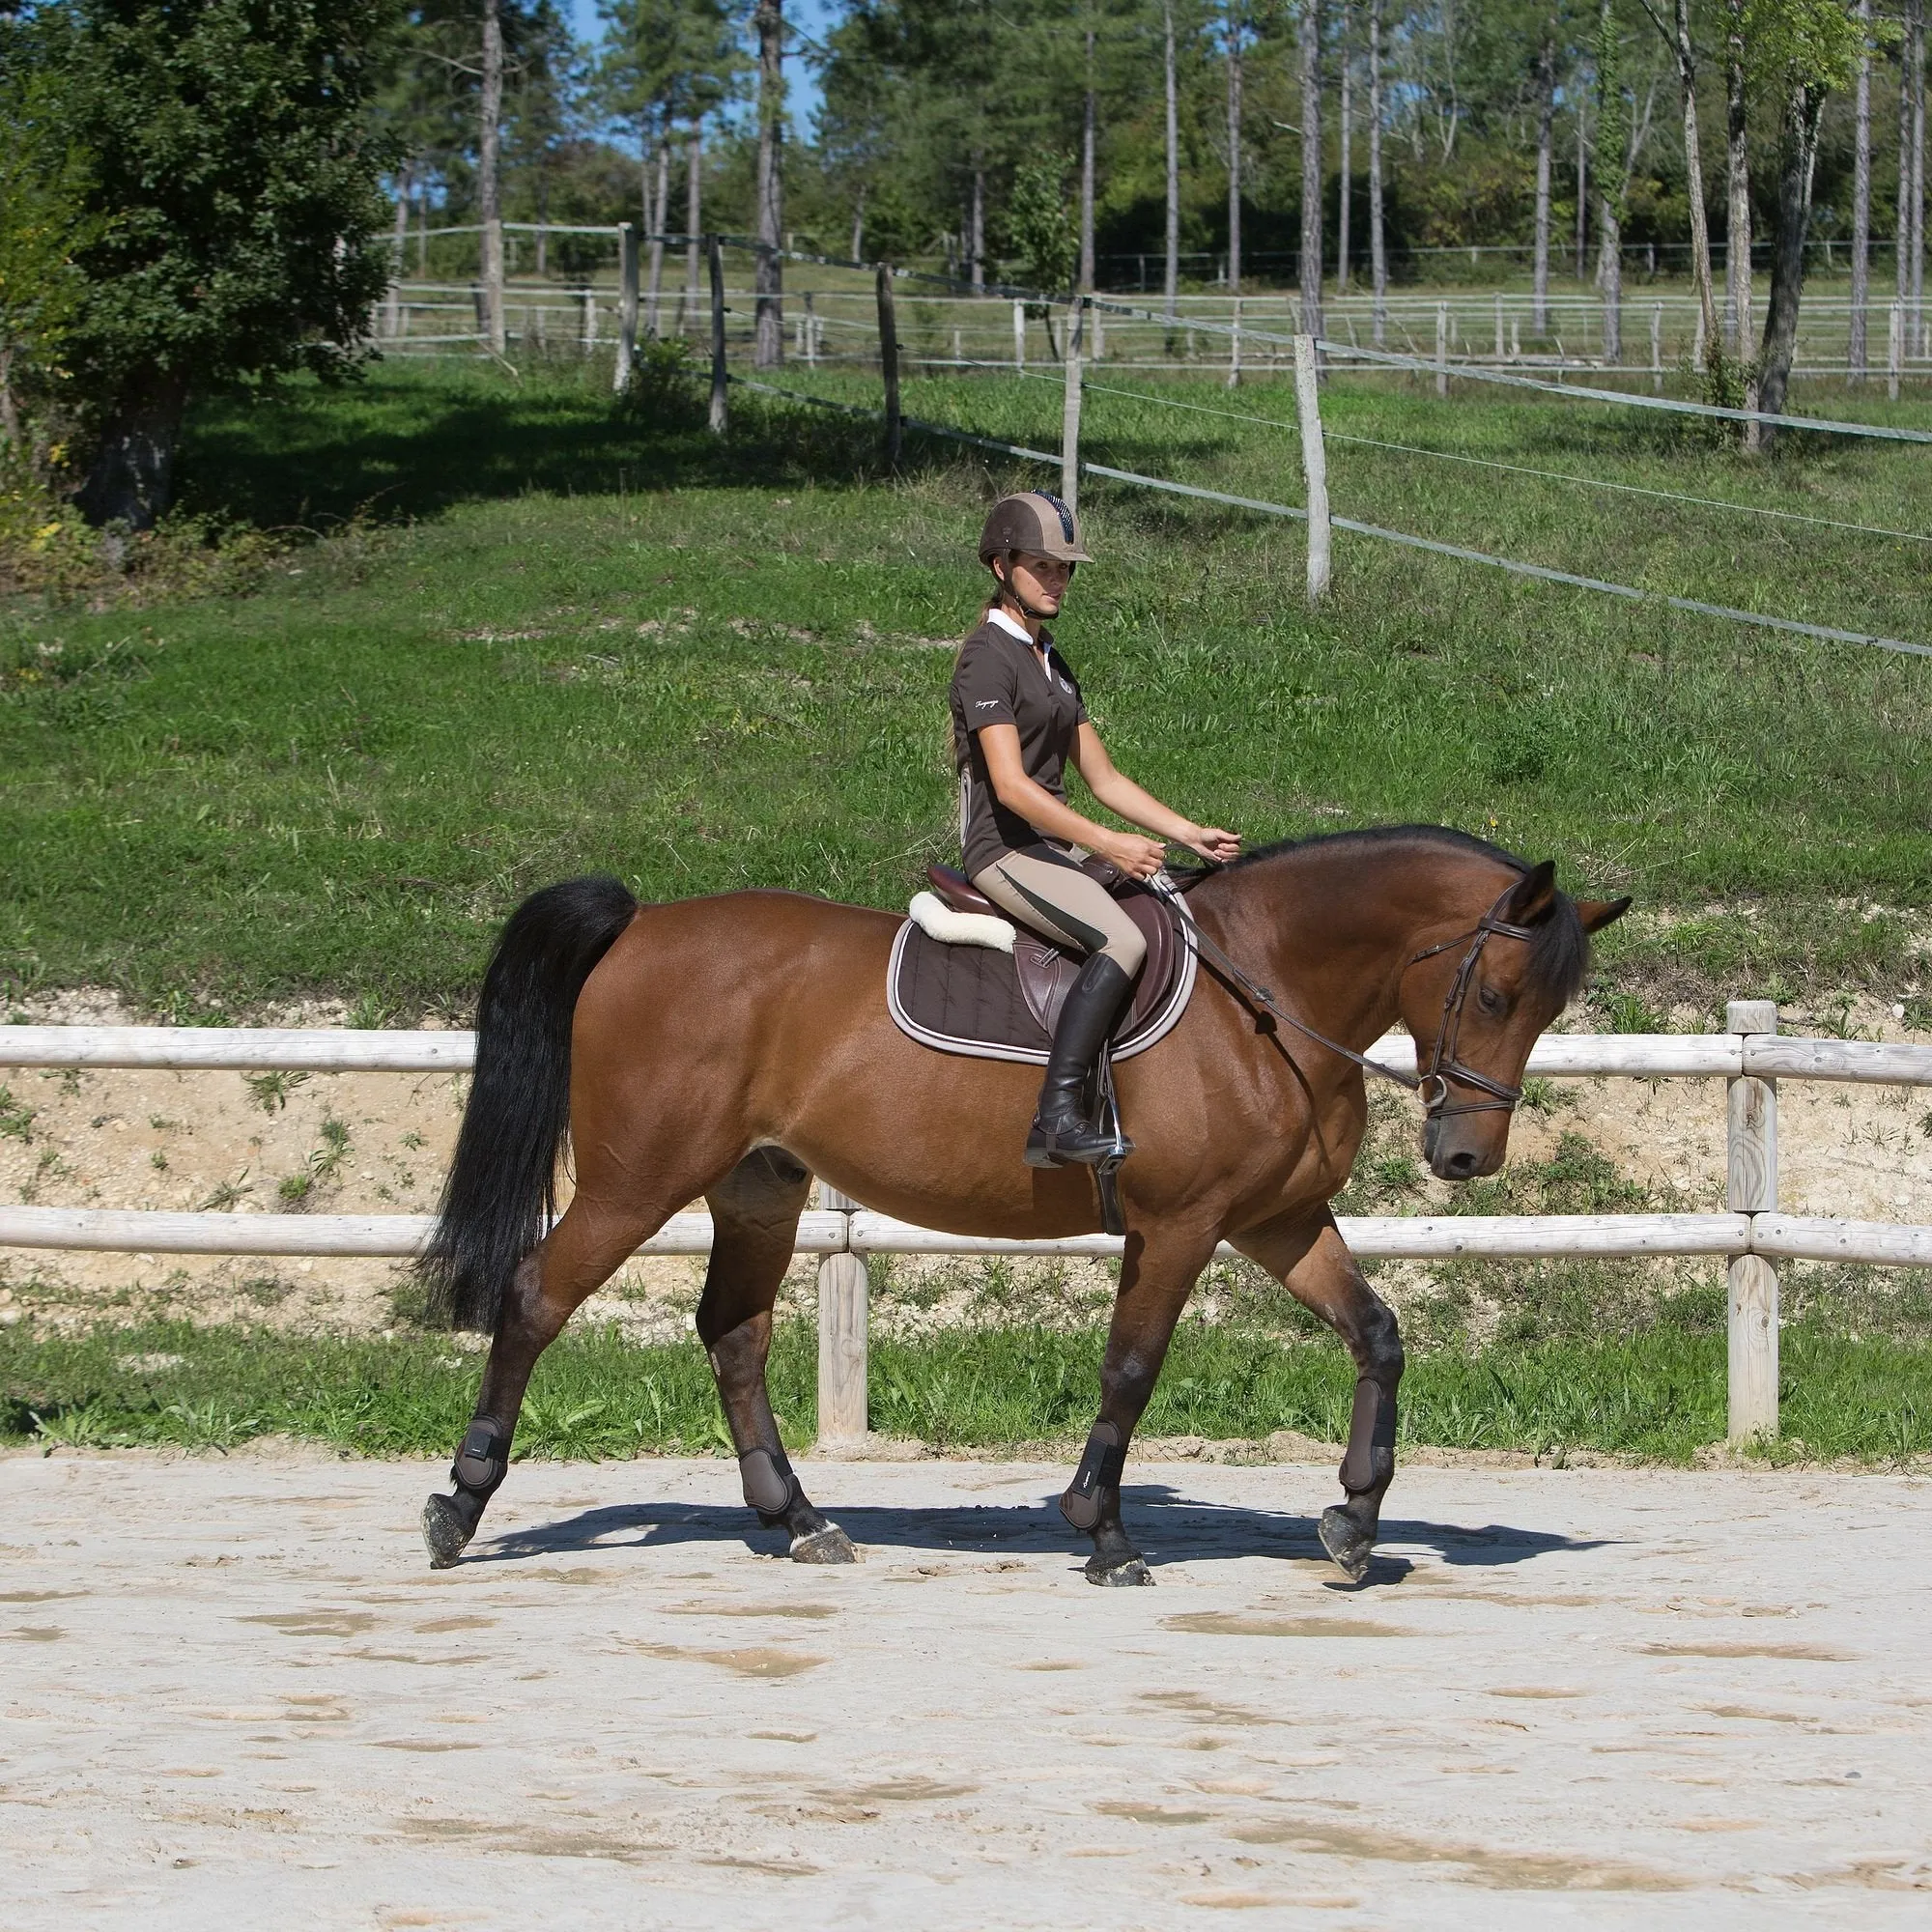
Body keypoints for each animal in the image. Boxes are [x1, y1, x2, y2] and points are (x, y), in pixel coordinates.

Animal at [423, 827, 1631, 1584]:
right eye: (1493, 994)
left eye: (1542, 1009)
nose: (1464, 1154)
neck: (1266, 990)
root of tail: (640, 924)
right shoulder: (1180, 1223)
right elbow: (1131, 1367)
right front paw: (1103, 1534)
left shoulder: (1275, 1221)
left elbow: (1377, 1335)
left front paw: (1352, 1518)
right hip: (637, 1179)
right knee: (534, 1300)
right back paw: (459, 1505)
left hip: (758, 1184)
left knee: (732, 1332)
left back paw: (800, 1521)